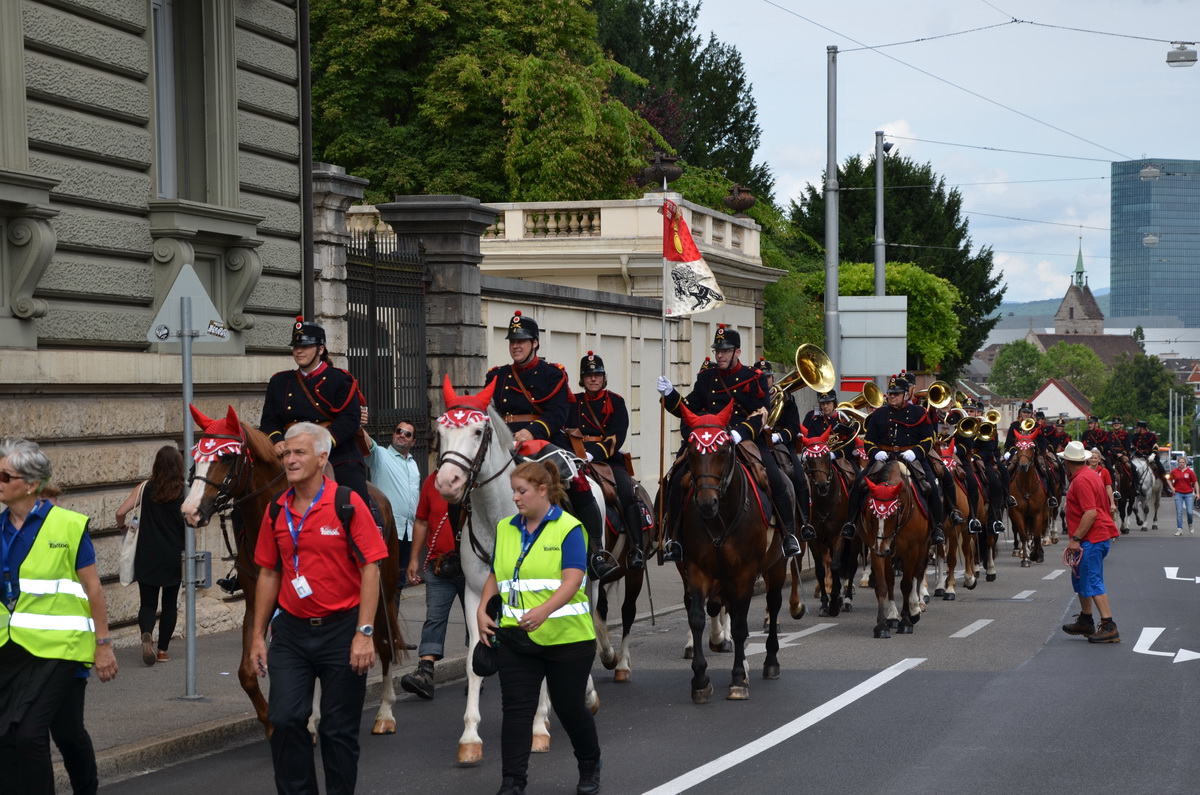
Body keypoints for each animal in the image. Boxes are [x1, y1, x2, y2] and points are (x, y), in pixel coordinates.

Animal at [799, 429, 860, 617]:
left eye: (826, 456)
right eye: (808, 458)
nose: (822, 486)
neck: (825, 501)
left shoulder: (838, 536)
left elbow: (835, 566)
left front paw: (833, 604)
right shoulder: (815, 539)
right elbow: (820, 569)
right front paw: (826, 603)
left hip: (855, 540)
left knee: (851, 565)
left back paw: (846, 600)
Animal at [852, 459, 930, 638]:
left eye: (893, 514)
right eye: (872, 515)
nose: (882, 548)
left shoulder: (912, 550)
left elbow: (907, 584)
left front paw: (906, 621)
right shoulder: (876, 549)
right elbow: (883, 585)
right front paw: (882, 625)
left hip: (922, 547)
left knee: (917, 573)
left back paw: (915, 607)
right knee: (892, 580)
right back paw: (894, 616)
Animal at [1007, 431, 1049, 568]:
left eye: (1032, 448)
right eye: (1018, 447)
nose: (1023, 465)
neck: (1027, 486)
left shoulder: (1038, 513)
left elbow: (1036, 535)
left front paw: (1037, 555)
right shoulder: (1018, 513)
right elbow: (1024, 535)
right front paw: (1025, 559)